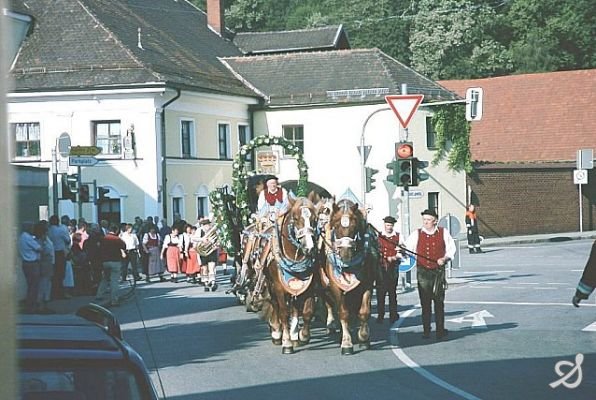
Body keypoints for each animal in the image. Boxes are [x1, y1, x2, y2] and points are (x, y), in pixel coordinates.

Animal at [258, 195, 318, 354]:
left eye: (315, 219)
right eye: (296, 218)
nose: (310, 248)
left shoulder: (308, 286)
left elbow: (307, 311)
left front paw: (302, 336)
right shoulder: (279, 287)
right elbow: (283, 313)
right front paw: (286, 343)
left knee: (295, 308)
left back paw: (294, 335)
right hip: (270, 284)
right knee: (275, 305)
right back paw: (277, 333)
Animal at [322, 198, 378, 354]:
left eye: (355, 226)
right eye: (335, 226)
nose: (345, 254)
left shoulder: (367, 284)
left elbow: (364, 311)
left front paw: (364, 337)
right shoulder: (335, 286)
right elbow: (343, 313)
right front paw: (346, 343)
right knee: (329, 304)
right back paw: (332, 324)